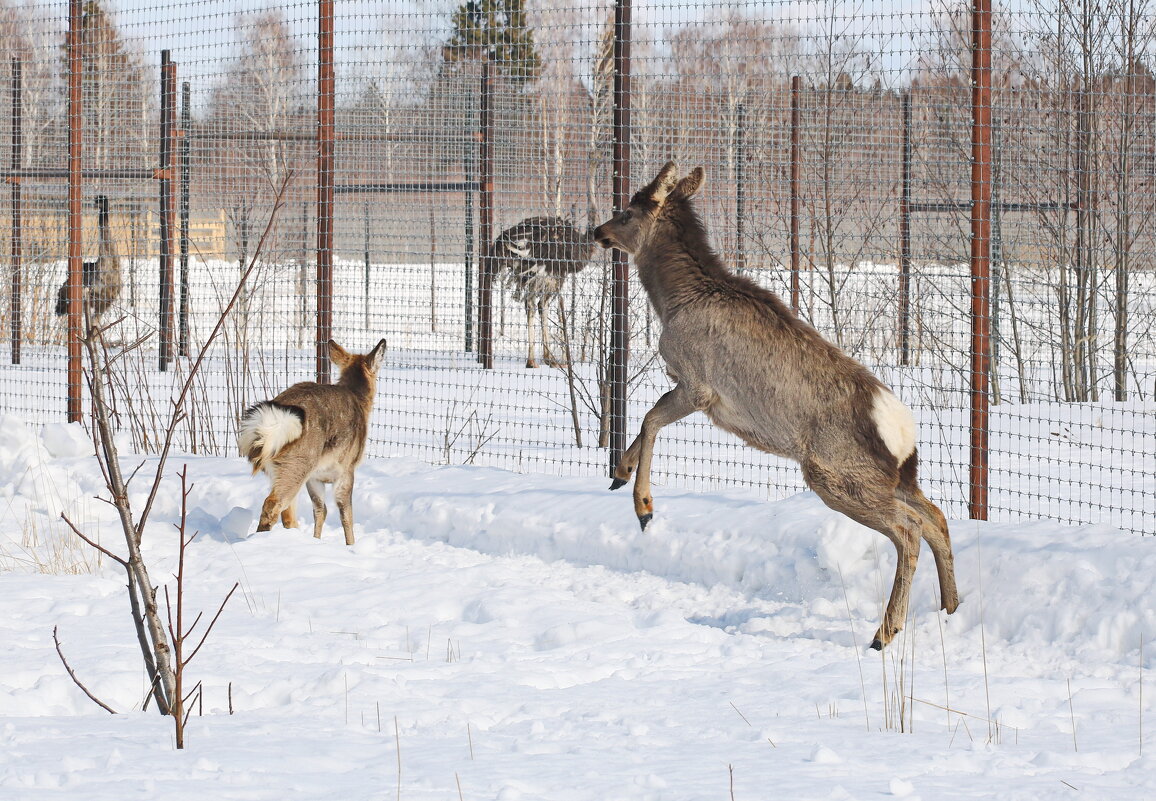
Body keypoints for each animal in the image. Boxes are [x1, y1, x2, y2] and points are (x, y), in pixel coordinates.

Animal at [239, 337, 388, 543]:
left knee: (287, 514)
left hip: (280, 469)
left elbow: (320, 511)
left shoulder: (315, 477)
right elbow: (346, 515)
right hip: (299, 462)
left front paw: (316, 540)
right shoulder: (347, 468)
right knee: (272, 505)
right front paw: (351, 545)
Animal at [487, 213, 596, 367]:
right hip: (536, 272)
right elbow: (543, 306)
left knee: (531, 304)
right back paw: (533, 361)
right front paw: (550, 359)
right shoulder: (555, 275)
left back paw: (533, 360)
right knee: (534, 304)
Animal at [591, 162, 961, 651]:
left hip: (835, 474)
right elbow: (647, 420)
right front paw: (619, 472)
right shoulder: (688, 386)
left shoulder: (699, 385)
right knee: (936, 516)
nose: (598, 231)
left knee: (909, 528)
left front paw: (645, 507)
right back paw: (951, 608)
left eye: (628, 212)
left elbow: (651, 419)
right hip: (895, 475)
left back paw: (885, 631)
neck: (671, 302)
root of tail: (901, 430)